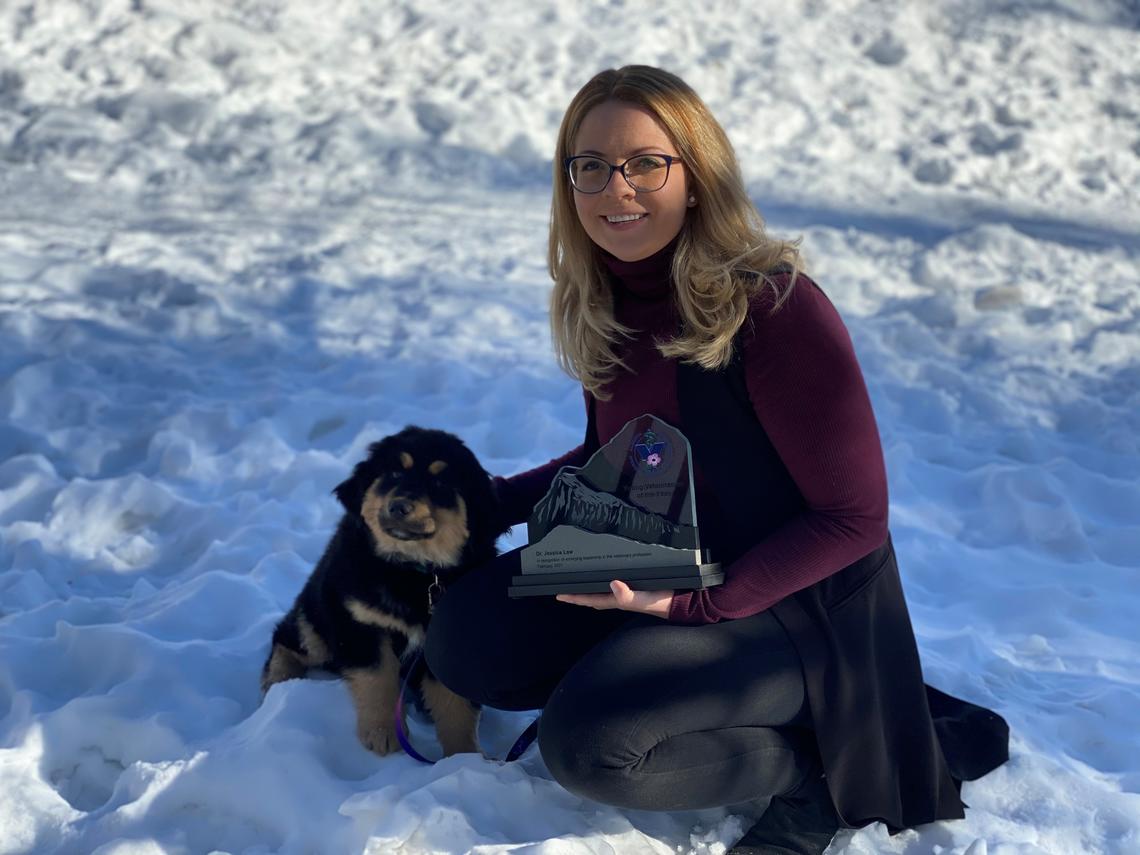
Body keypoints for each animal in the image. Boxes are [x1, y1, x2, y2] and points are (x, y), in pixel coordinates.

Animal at [264, 426, 506, 756]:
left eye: (440, 482)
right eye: (394, 473)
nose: (399, 507)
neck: (416, 571)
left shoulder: (450, 637)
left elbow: (455, 706)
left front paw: (465, 757)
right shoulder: (361, 625)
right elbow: (377, 680)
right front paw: (384, 736)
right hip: (319, 617)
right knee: (288, 639)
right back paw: (277, 685)